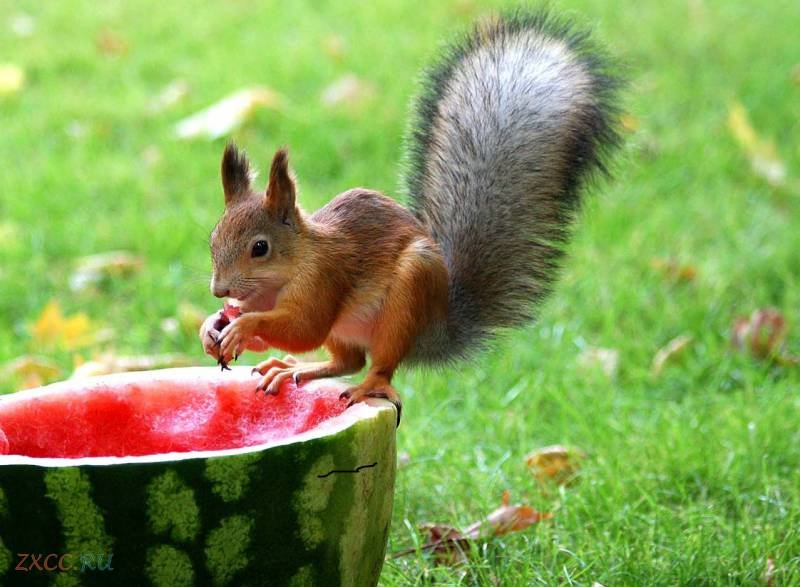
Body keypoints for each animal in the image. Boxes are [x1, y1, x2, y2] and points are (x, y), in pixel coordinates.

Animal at [200, 11, 621, 424]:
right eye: (213, 240)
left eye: (260, 248)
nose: (219, 290)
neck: (284, 274)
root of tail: (435, 327)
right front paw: (213, 324)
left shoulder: (325, 278)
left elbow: (305, 329)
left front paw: (245, 326)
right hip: (349, 330)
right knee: (348, 360)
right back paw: (294, 369)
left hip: (406, 299)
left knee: (378, 364)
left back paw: (368, 386)